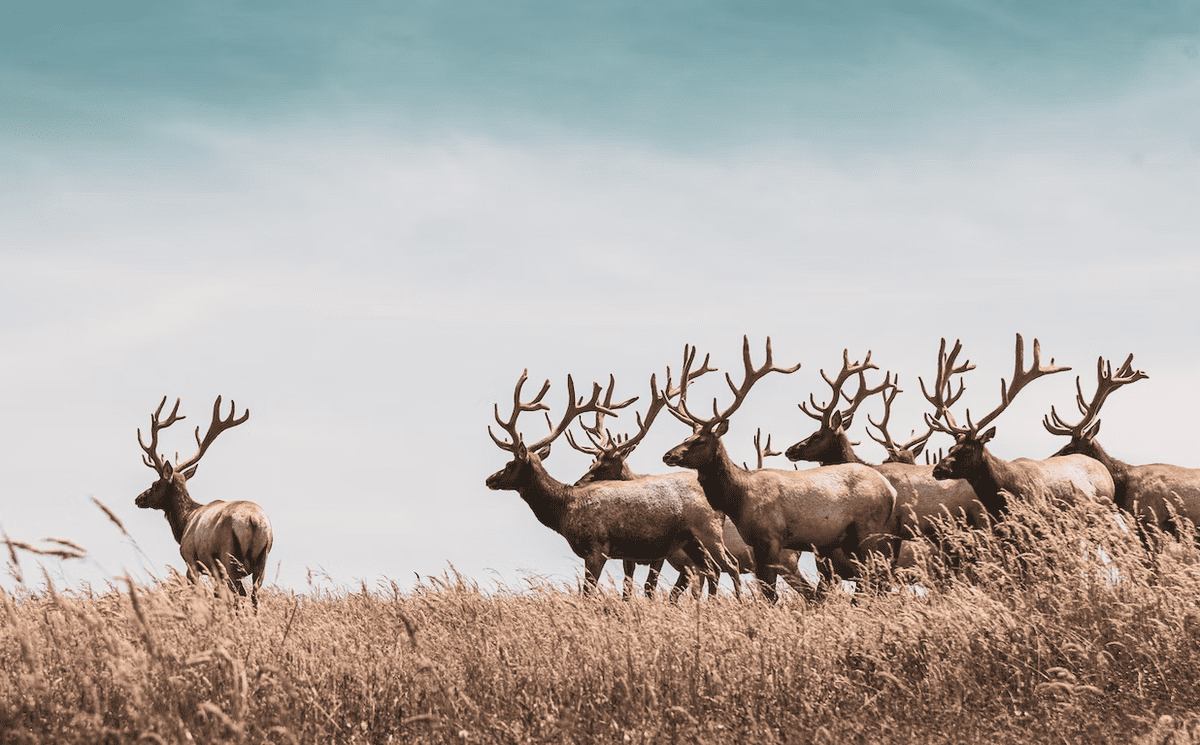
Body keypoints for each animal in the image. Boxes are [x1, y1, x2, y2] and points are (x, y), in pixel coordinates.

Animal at [134, 396, 273, 609]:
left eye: (155, 484)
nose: (138, 499)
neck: (184, 523)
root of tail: (254, 521)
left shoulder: (191, 559)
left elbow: (196, 593)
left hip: (228, 557)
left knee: (237, 595)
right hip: (262, 560)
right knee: (254, 596)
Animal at [485, 370, 739, 599]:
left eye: (510, 464)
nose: (489, 479)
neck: (565, 510)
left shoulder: (598, 548)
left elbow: (588, 594)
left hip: (707, 529)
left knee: (729, 565)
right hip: (690, 541)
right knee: (712, 570)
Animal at [661, 336, 900, 603]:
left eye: (699, 441)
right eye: (686, 436)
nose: (668, 455)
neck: (738, 498)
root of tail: (891, 491)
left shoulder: (771, 538)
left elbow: (769, 594)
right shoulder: (756, 544)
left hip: (868, 530)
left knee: (875, 575)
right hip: (851, 539)